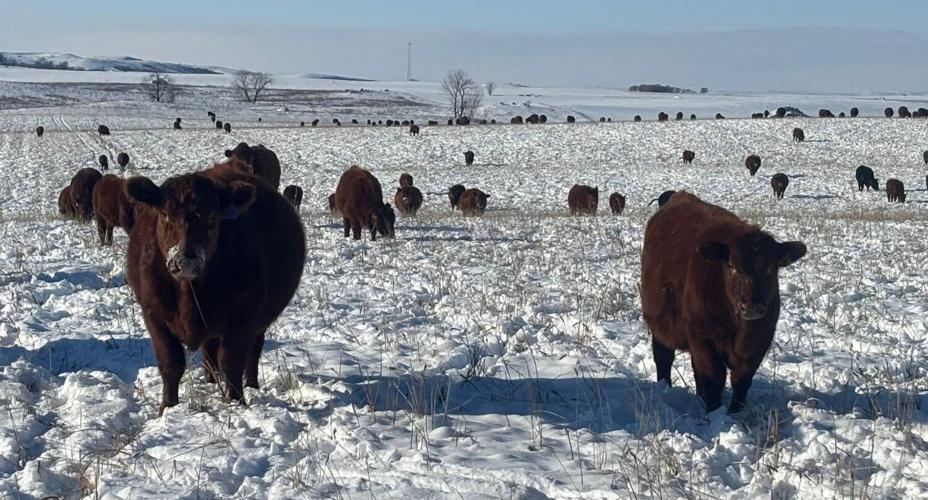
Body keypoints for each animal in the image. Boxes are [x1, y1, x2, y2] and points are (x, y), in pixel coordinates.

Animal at [124, 161, 305, 414]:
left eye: (212, 218)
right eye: (165, 214)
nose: (186, 260)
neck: (188, 293)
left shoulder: (244, 317)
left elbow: (232, 362)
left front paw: (236, 402)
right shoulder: (153, 315)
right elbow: (171, 363)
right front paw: (167, 408)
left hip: (261, 320)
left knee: (252, 350)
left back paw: (251, 384)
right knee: (209, 350)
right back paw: (210, 381)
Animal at [640, 191, 806, 412]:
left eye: (771, 268)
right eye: (732, 266)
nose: (751, 306)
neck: (740, 327)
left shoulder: (759, 341)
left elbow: (741, 381)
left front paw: (734, 413)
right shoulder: (703, 338)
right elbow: (713, 379)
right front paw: (715, 413)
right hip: (660, 325)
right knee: (664, 358)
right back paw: (664, 388)